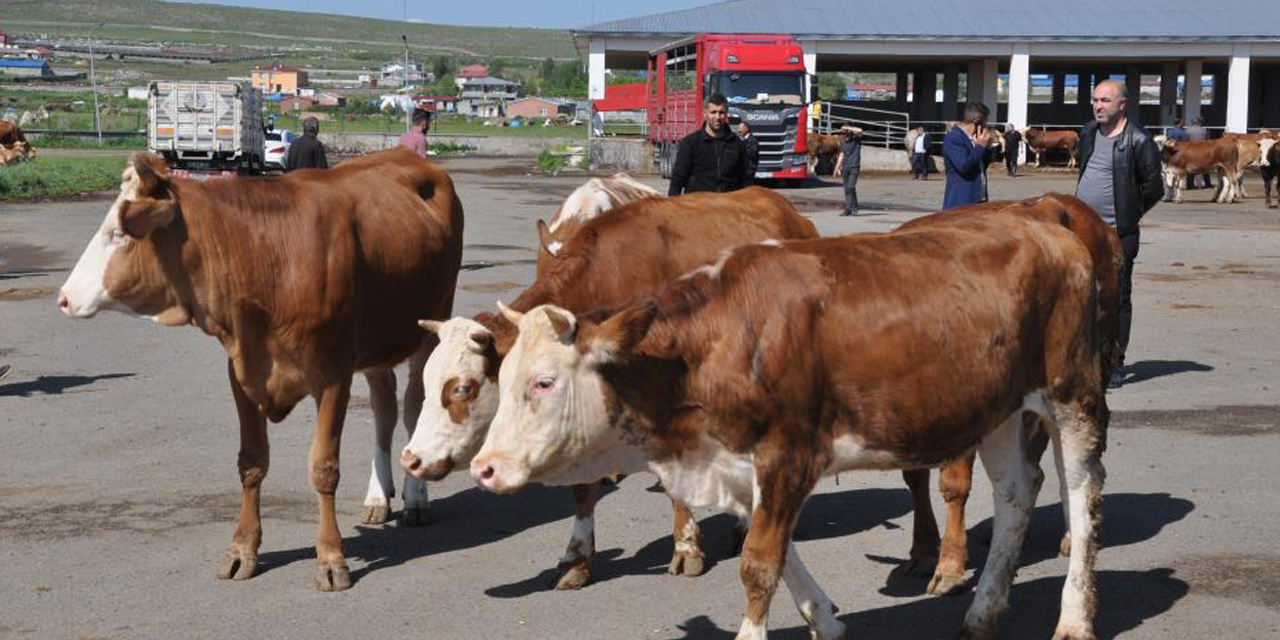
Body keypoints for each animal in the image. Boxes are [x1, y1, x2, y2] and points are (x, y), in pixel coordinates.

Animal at [57, 148, 465, 588]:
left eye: (118, 235)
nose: (63, 298)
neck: (265, 259)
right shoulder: (242, 370)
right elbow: (251, 463)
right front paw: (242, 550)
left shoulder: (333, 374)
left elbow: (323, 469)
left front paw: (331, 558)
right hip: (377, 342)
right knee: (384, 411)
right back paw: (377, 495)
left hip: (431, 323)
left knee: (413, 407)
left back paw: (416, 498)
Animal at [401, 185, 819, 588]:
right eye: (425, 383)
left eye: (463, 388)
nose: (411, 459)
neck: (608, 280)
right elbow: (582, 488)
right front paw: (576, 559)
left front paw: (686, 548)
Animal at [476, 204, 1105, 640]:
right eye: (502, 378)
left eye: (544, 382)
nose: (484, 468)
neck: (723, 339)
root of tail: (1045, 222)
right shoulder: (739, 461)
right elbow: (780, 553)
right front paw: (824, 618)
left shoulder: (790, 452)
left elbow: (759, 564)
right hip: (998, 407)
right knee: (1016, 495)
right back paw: (982, 612)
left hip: (1071, 392)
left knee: (1082, 494)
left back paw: (1074, 619)